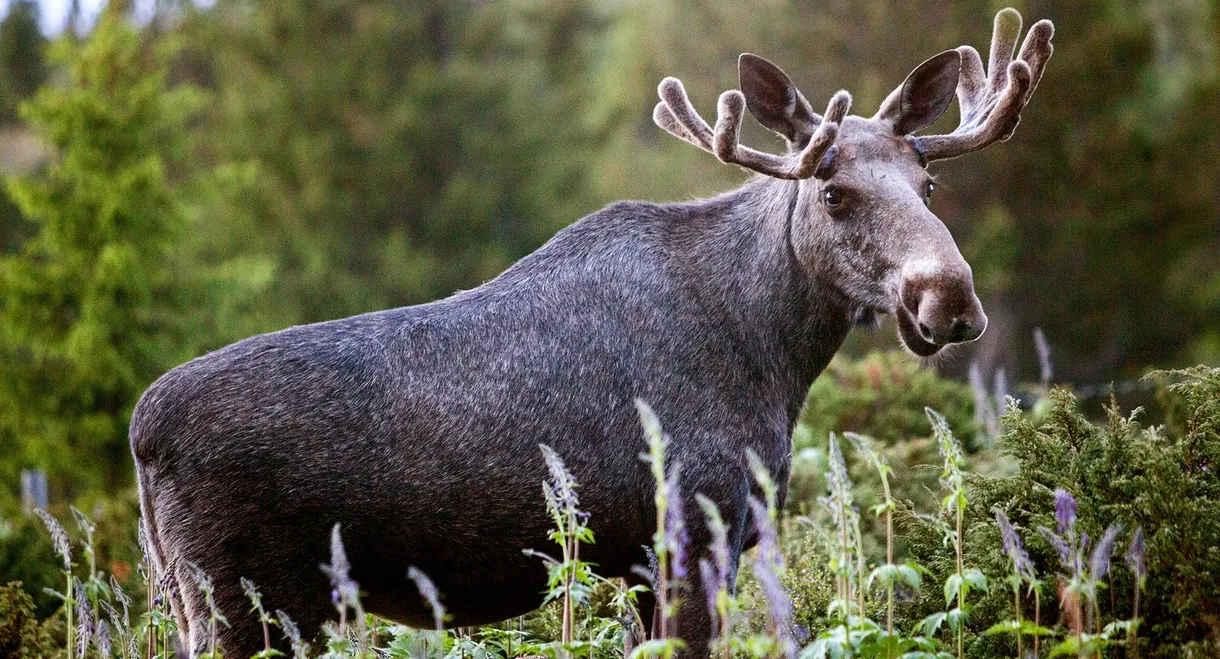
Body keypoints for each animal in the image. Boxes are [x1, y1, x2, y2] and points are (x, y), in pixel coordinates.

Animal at [128, 7, 1054, 654]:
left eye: (929, 184)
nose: (948, 298)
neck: (773, 355)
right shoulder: (688, 532)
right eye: (834, 193)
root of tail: (141, 433)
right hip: (246, 602)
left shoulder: (652, 559)